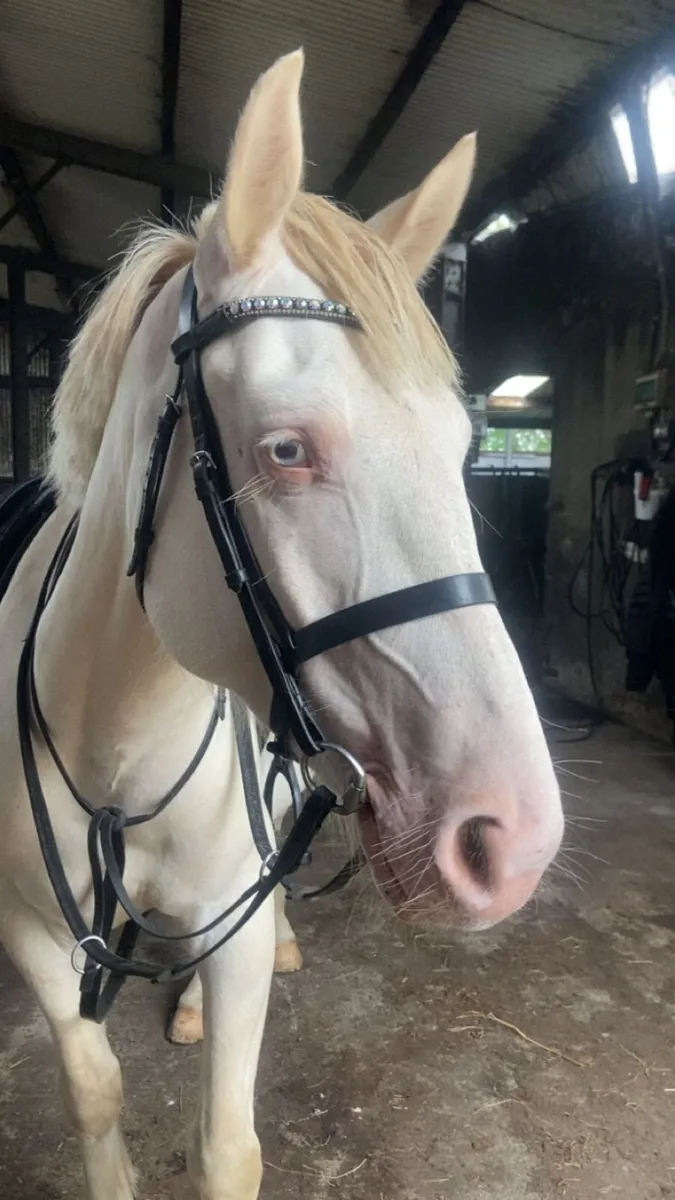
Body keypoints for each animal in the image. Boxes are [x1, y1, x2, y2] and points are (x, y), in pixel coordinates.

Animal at [0, 48, 563, 1200]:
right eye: (287, 451)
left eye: (461, 448)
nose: (514, 842)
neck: (114, 744)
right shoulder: (27, 929)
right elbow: (93, 1091)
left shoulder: (234, 936)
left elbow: (227, 1144)